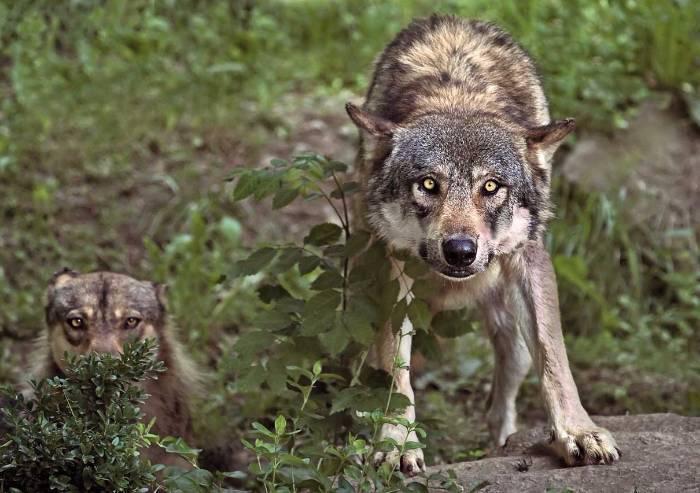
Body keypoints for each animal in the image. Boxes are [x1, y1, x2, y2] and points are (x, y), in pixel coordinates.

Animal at [344, 15, 616, 474]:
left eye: (491, 186)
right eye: (428, 185)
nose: (460, 251)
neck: (459, 94)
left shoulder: (529, 256)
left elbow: (555, 359)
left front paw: (578, 432)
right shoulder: (395, 269)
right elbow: (398, 374)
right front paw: (397, 443)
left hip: (510, 326)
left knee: (507, 386)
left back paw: (504, 444)